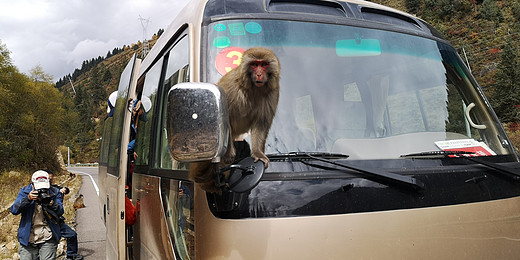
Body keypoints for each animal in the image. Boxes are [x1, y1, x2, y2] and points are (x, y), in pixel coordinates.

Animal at [190, 47, 280, 193]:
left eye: (264, 64)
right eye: (254, 64)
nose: (259, 74)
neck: (254, 88)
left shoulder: (272, 92)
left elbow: (261, 123)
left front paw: (258, 153)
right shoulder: (231, 88)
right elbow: (225, 118)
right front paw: (228, 154)